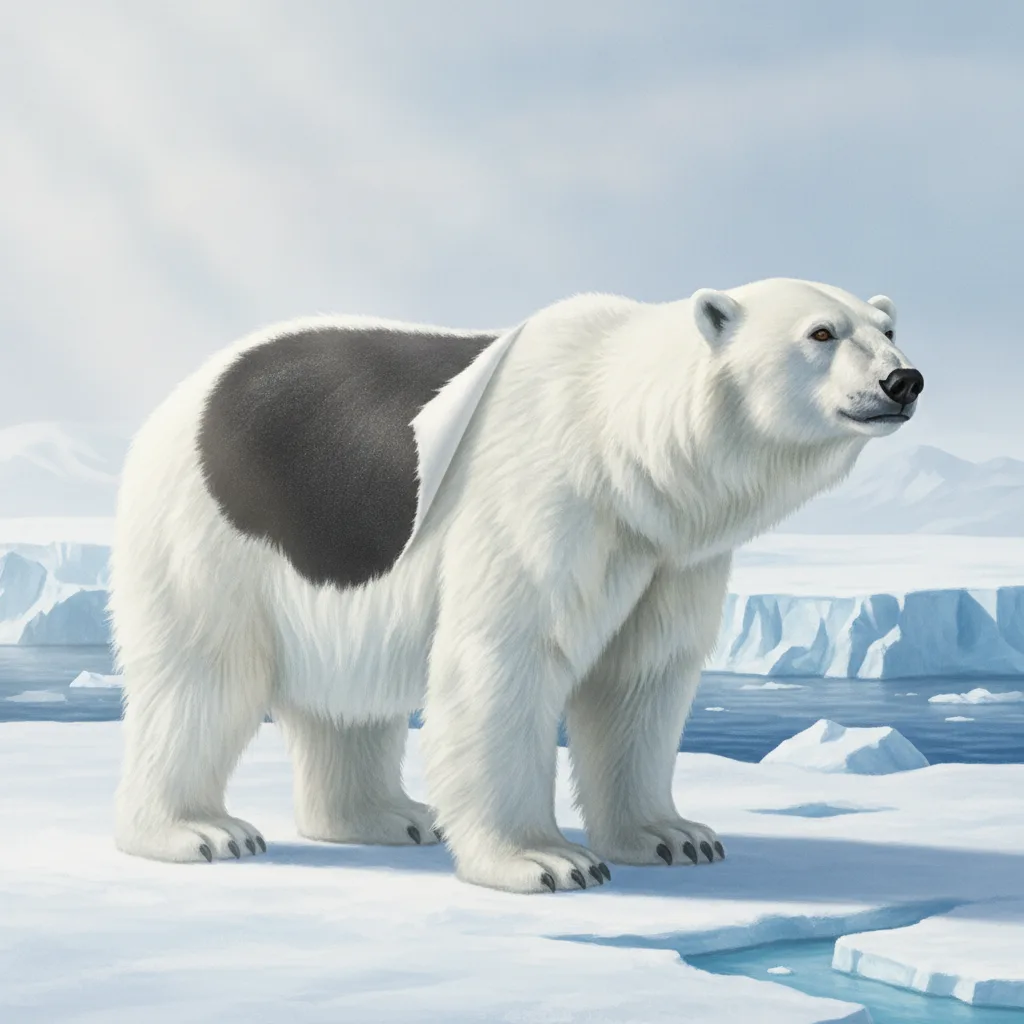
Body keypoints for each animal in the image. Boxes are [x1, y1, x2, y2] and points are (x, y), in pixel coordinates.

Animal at [109, 277, 923, 893]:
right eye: (821, 333)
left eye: (888, 326)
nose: (902, 379)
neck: (622, 448)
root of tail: (189, 391)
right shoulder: (540, 502)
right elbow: (508, 659)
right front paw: (547, 859)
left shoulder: (668, 555)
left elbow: (642, 677)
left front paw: (675, 835)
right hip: (211, 534)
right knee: (204, 676)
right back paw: (201, 830)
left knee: (348, 699)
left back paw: (392, 816)